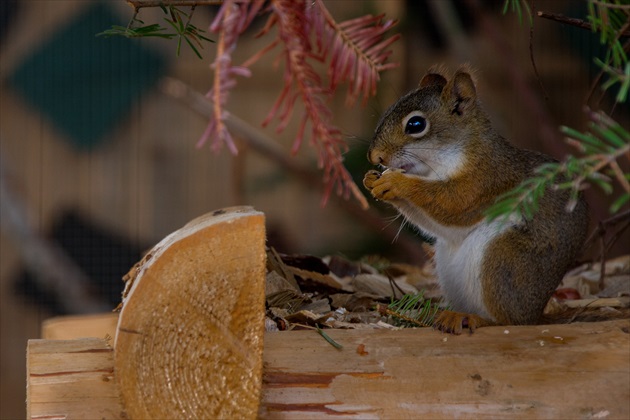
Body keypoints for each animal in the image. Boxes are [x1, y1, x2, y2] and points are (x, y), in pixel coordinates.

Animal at [366, 66, 592, 334]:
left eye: (416, 124)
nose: (374, 157)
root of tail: (535, 314)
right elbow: (441, 226)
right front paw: (371, 180)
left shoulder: (486, 181)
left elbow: (453, 204)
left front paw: (396, 183)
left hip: (503, 259)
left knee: (509, 321)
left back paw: (473, 319)